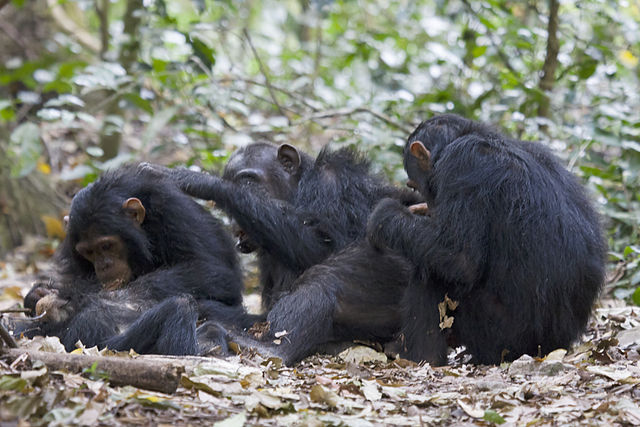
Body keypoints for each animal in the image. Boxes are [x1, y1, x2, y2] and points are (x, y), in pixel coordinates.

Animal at [16, 164, 245, 354]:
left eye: (106, 245)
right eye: (89, 252)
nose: (104, 265)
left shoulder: (175, 212)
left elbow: (212, 270)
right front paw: (38, 293)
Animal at [146, 145, 422, 364]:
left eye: (247, 181)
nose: (234, 223)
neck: (299, 189)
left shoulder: (334, 185)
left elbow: (331, 243)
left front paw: (202, 181)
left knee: (327, 276)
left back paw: (267, 349)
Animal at [364, 115, 604, 366]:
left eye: (413, 184)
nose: (429, 202)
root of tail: (553, 346)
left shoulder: (461, 164)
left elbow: (458, 257)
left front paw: (385, 215)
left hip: (502, 339)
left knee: (431, 272)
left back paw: (417, 355)